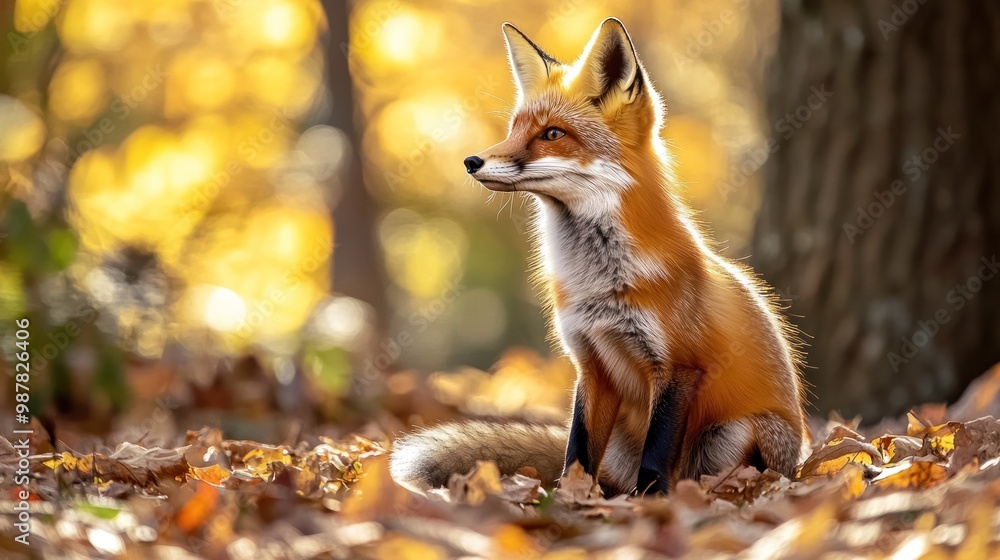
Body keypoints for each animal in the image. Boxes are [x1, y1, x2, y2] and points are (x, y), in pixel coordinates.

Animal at [390, 18, 809, 496]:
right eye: (513, 129)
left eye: (552, 134)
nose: (470, 161)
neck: (600, 284)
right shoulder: (590, 363)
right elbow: (577, 449)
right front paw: (569, 497)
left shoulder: (678, 367)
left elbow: (656, 456)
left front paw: (652, 503)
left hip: (737, 432)